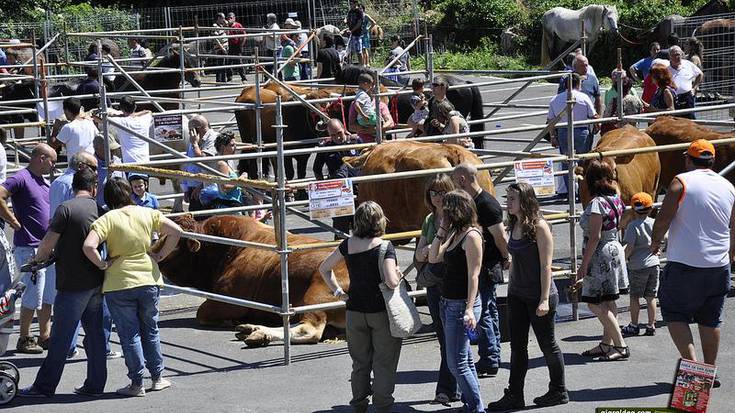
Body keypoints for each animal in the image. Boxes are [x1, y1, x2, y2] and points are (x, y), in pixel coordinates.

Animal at [154, 214, 350, 346]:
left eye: (171, 243)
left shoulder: (228, 302)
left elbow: (201, 313)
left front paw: (230, 322)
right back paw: (253, 329)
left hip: (317, 294)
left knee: (309, 329)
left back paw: (256, 332)